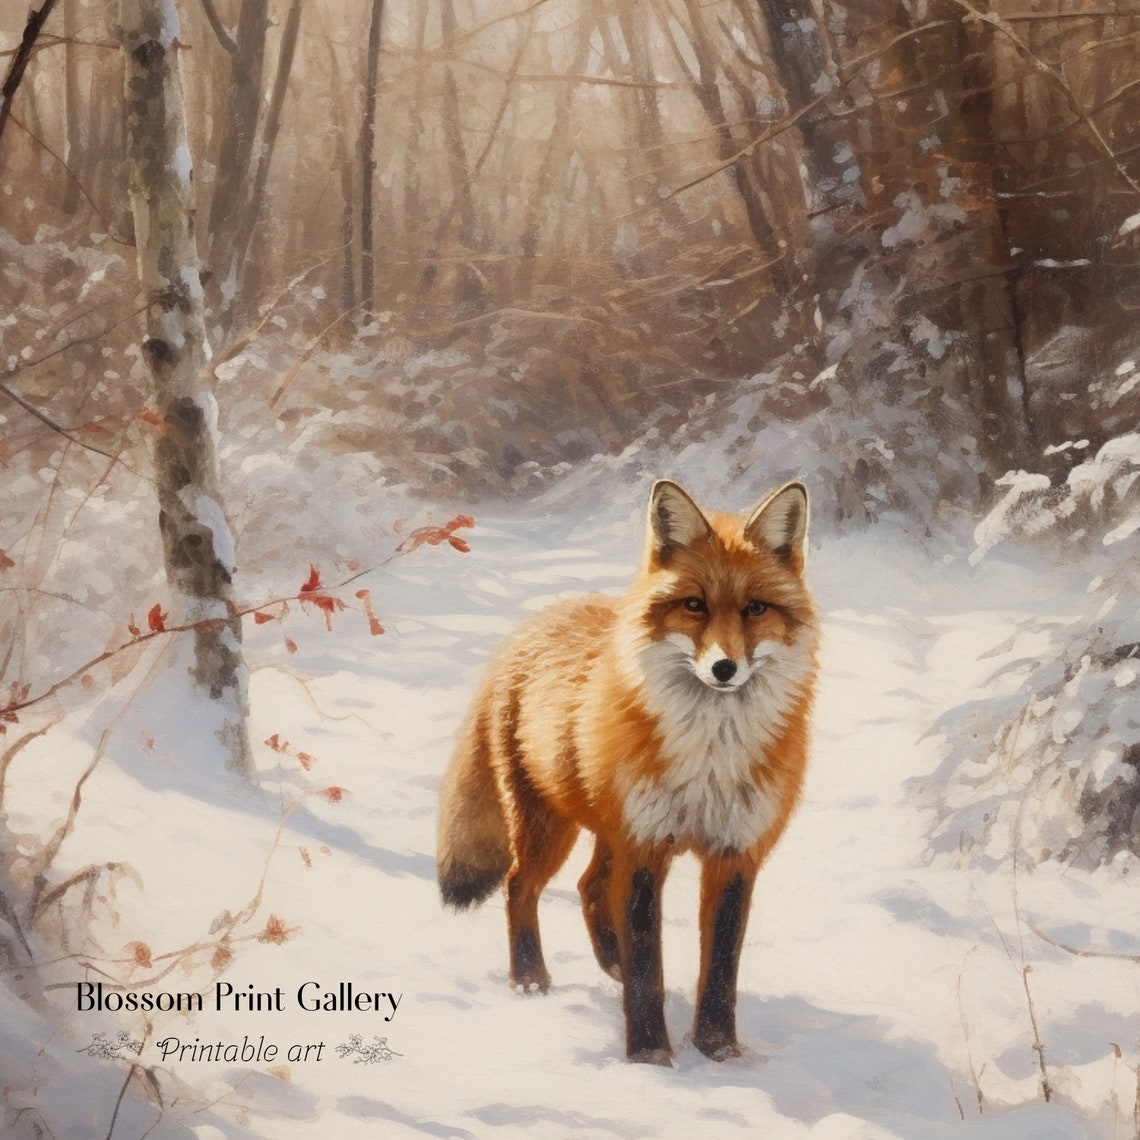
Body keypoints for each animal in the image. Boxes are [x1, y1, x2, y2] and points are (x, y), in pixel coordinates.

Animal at [437, 479, 819, 1065]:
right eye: (693, 605)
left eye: (755, 608)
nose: (724, 668)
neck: (710, 754)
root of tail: (532, 626)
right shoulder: (644, 846)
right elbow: (647, 966)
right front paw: (649, 1054)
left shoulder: (733, 852)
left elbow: (720, 968)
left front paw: (717, 1048)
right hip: (551, 826)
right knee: (520, 884)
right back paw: (530, 976)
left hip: (606, 829)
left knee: (589, 885)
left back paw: (605, 959)